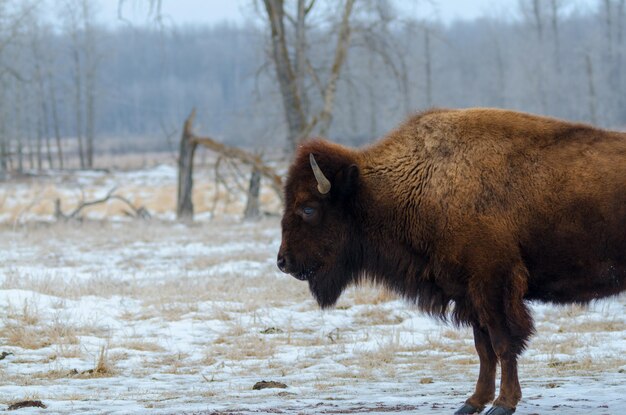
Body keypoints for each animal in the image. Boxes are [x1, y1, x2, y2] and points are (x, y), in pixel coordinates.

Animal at [278, 108, 624, 415]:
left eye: (308, 208)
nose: (283, 262)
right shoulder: (470, 295)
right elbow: (484, 349)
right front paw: (472, 403)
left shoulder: (492, 287)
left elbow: (503, 344)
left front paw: (503, 404)